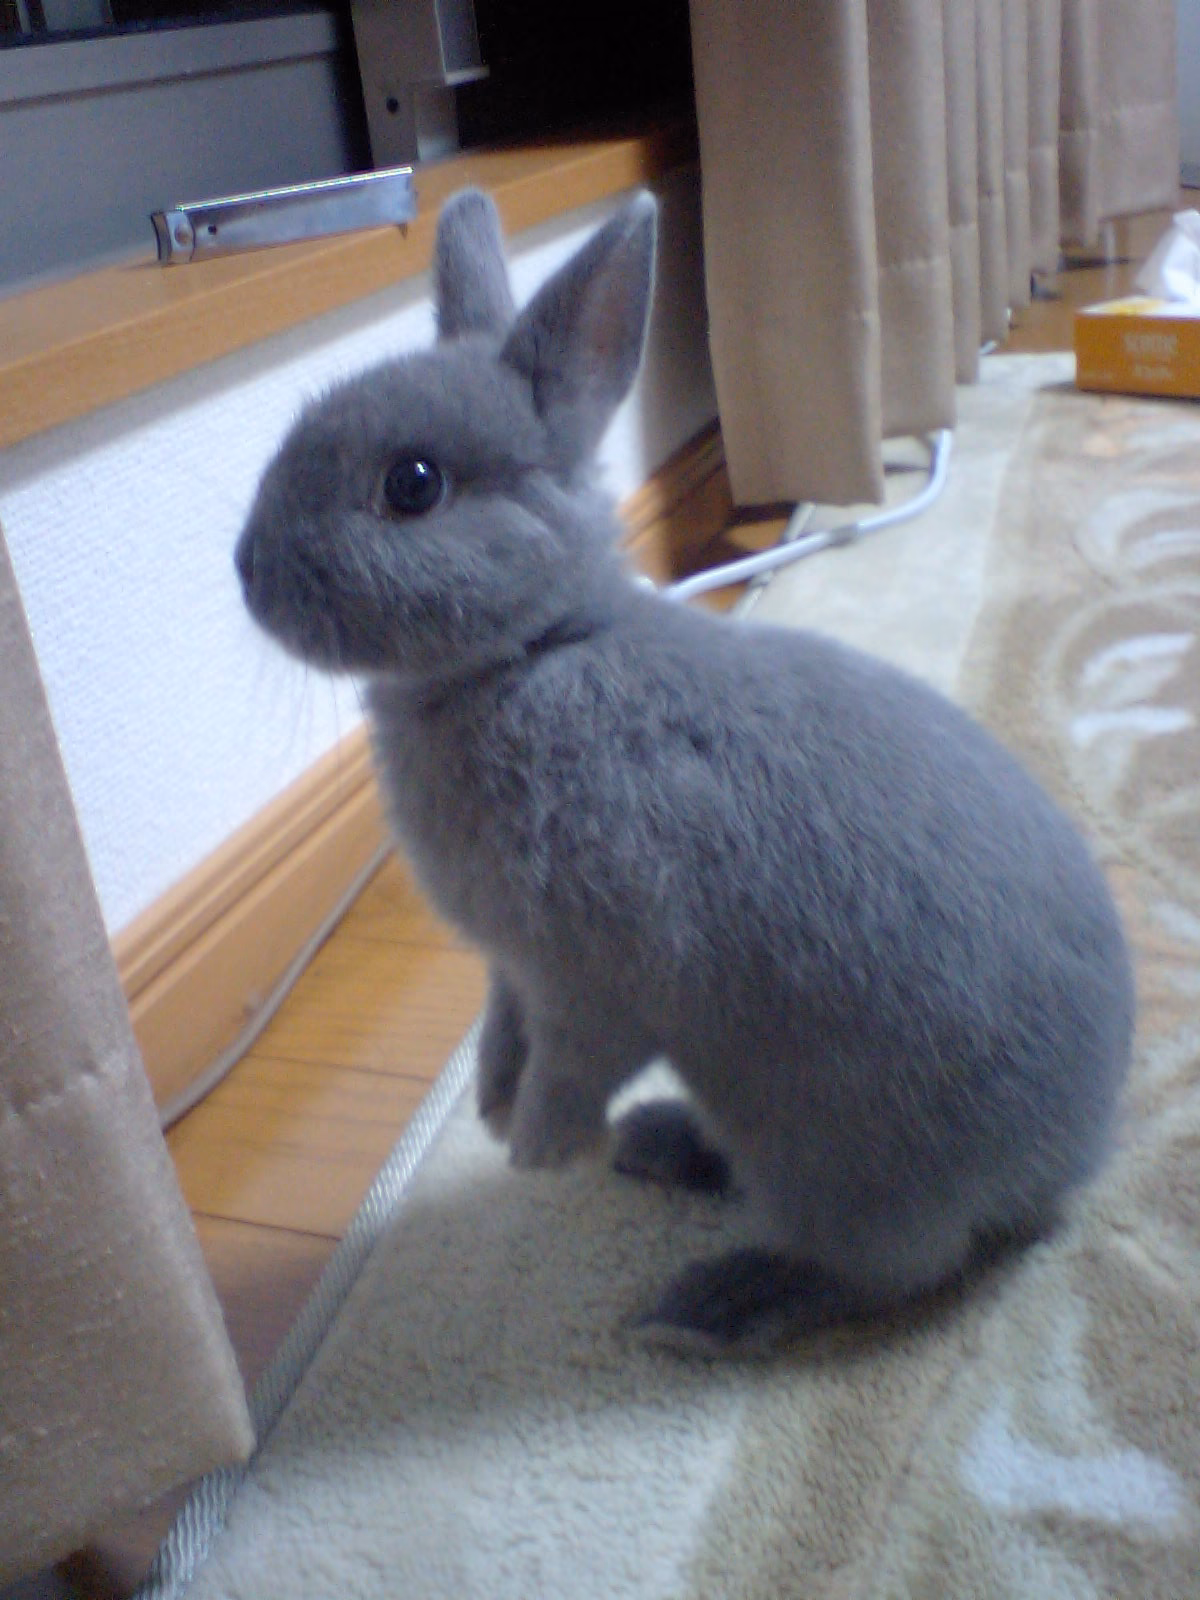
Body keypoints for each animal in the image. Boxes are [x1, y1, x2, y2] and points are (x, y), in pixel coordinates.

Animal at [235, 187, 1135, 1355]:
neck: (534, 651)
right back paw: (662, 1149)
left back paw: (708, 1304)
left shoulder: (599, 973)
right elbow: (504, 1031)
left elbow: (576, 1061)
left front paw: (536, 1147)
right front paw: (492, 1105)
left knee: (882, 1274)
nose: (247, 573)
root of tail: (1066, 1166)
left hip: (832, 1155)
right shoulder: (510, 969)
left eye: (414, 485)